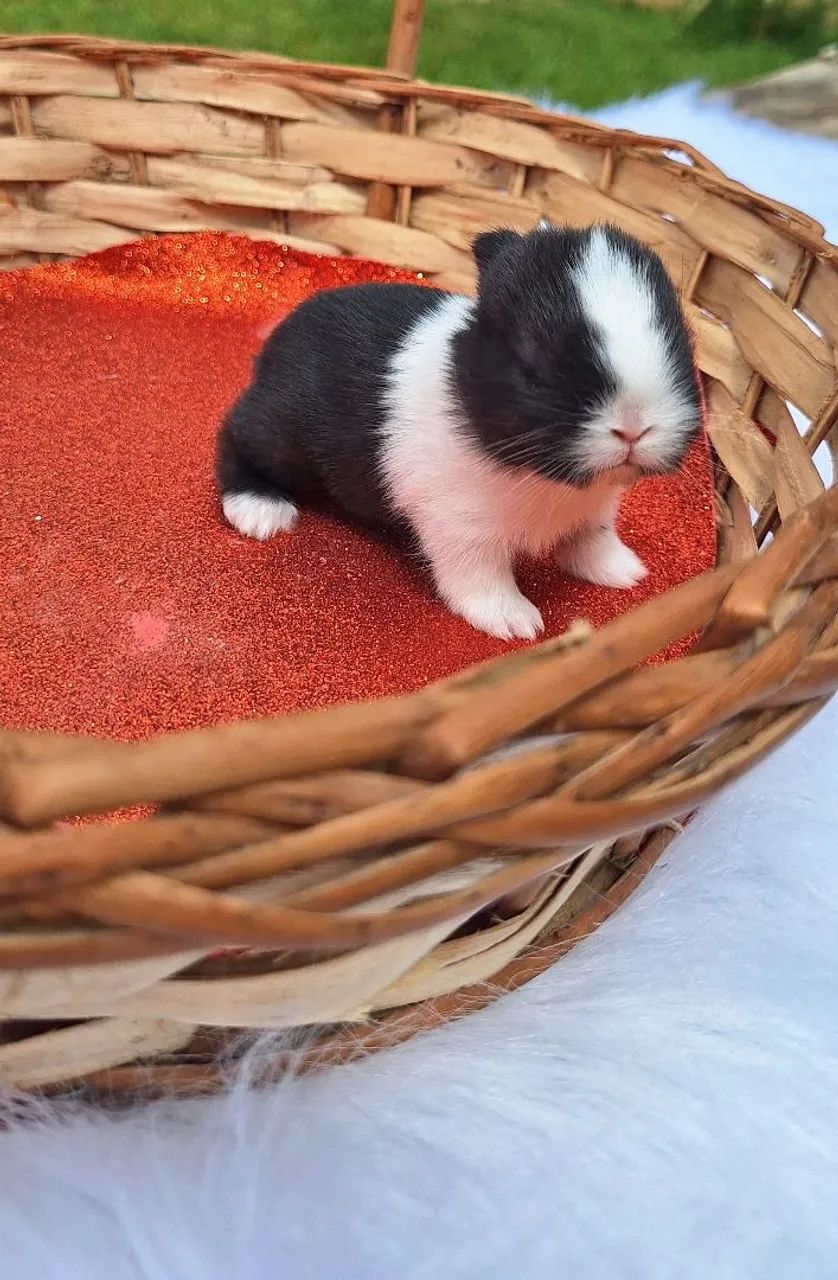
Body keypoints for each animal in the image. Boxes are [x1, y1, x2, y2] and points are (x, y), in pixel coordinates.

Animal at [216, 220, 703, 640]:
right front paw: (514, 621)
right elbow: (480, 575)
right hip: (279, 436)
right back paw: (260, 511)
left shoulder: (597, 506)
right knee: (233, 437)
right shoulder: (460, 525)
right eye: (533, 370)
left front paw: (623, 571)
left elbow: (592, 538)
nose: (634, 428)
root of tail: (277, 340)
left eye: (683, 347)